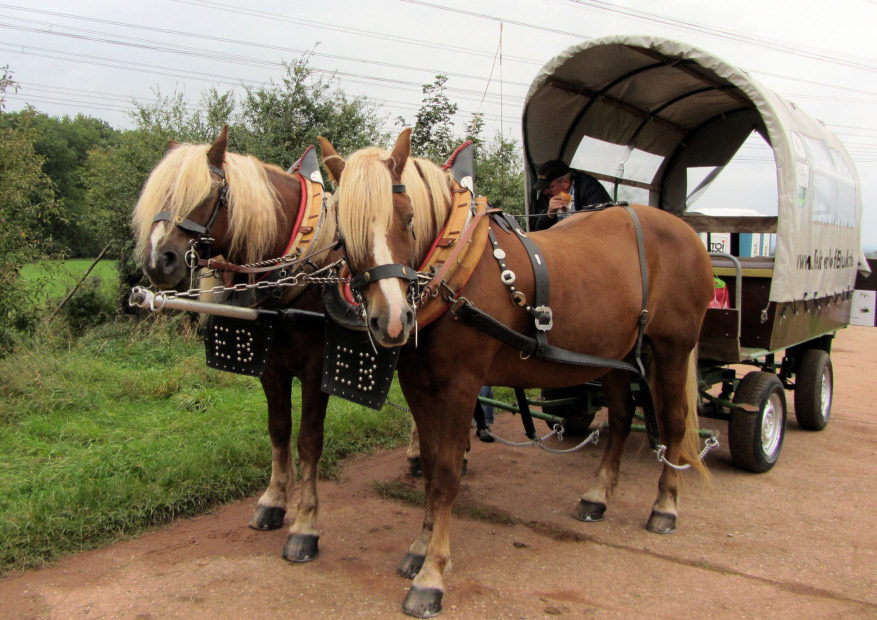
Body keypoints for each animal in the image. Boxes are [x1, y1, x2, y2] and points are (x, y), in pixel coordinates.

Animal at [133, 126, 338, 560]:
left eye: (207, 196)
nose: (159, 262)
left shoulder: (317, 371)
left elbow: (309, 441)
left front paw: (305, 525)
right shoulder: (272, 367)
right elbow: (278, 429)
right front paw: (274, 501)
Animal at [318, 130, 716, 616]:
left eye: (409, 219)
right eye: (343, 231)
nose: (392, 321)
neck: (457, 271)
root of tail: (684, 231)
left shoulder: (461, 386)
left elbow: (447, 474)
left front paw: (432, 574)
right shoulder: (417, 385)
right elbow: (429, 467)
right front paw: (420, 547)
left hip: (674, 349)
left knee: (675, 423)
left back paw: (665, 506)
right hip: (612, 355)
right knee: (622, 417)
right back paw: (598, 496)